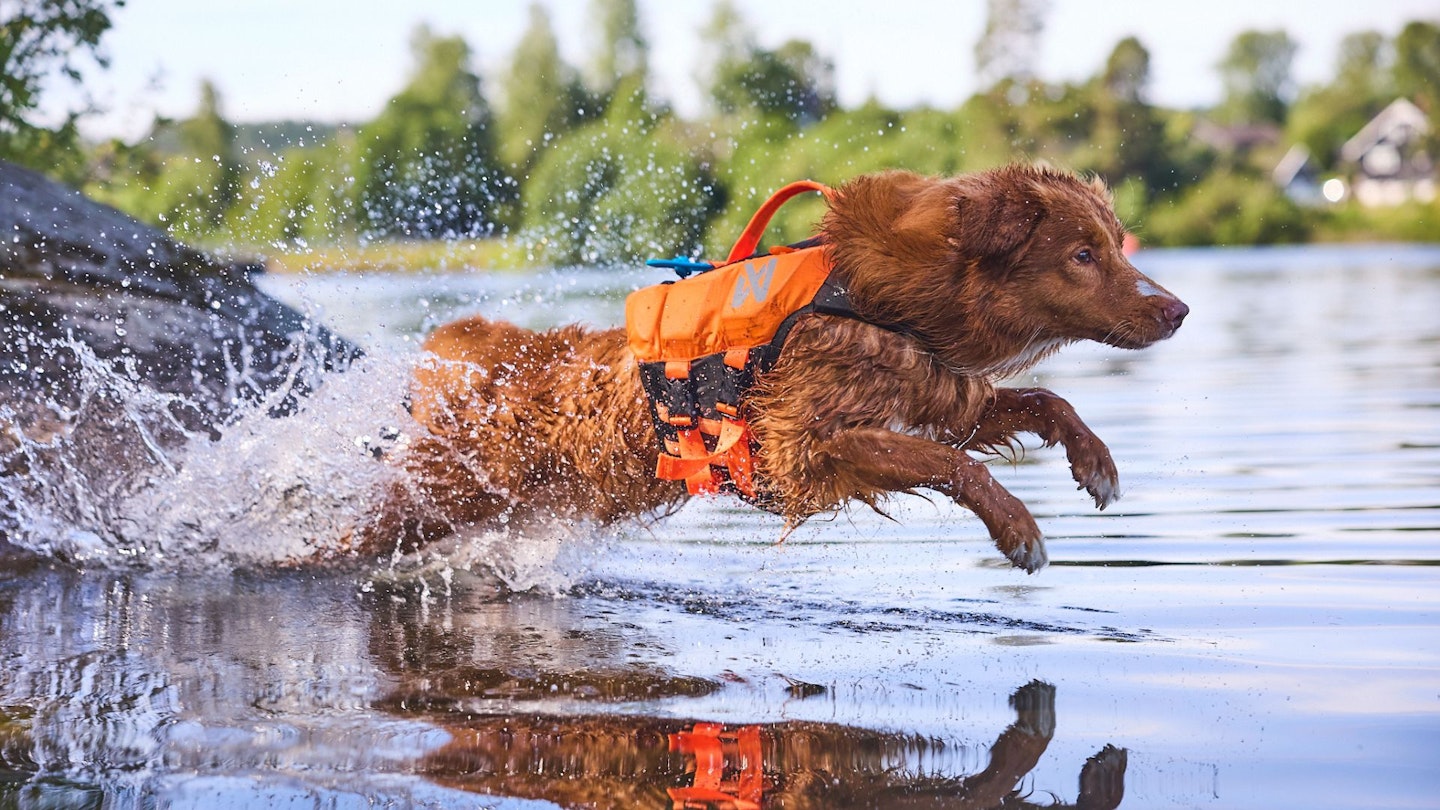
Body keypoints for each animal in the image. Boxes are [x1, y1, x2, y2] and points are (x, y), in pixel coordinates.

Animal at [362, 164, 1192, 567]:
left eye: (1115, 244)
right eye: (1081, 255)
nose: (1178, 310)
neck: (880, 299)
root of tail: (471, 355)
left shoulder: (933, 392)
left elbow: (1044, 401)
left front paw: (1096, 463)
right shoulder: (804, 448)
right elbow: (953, 464)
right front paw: (1018, 530)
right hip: (433, 498)